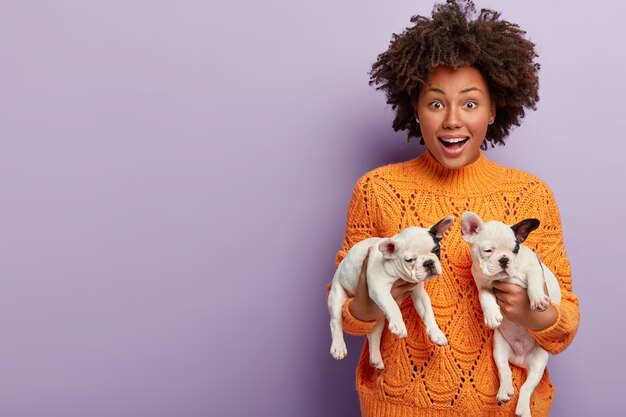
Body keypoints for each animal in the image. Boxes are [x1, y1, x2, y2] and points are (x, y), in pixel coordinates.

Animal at [326, 216, 454, 368]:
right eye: (410, 260)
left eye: (436, 250)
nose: (428, 263)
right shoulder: (378, 286)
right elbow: (392, 305)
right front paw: (399, 325)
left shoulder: (419, 292)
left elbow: (428, 312)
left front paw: (436, 332)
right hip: (337, 294)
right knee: (336, 322)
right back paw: (338, 347)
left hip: (378, 315)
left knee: (373, 334)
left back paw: (376, 359)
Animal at [458, 211, 560, 416]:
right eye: (488, 250)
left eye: (515, 250)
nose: (504, 260)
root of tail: (520, 360)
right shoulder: (483, 283)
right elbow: (484, 297)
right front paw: (491, 315)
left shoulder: (534, 268)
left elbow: (535, 282)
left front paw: (538, 299)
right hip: (499, 348)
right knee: (505, 371)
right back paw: (504, 391)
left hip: (540, 360)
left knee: (527, 387)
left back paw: (523, 409)